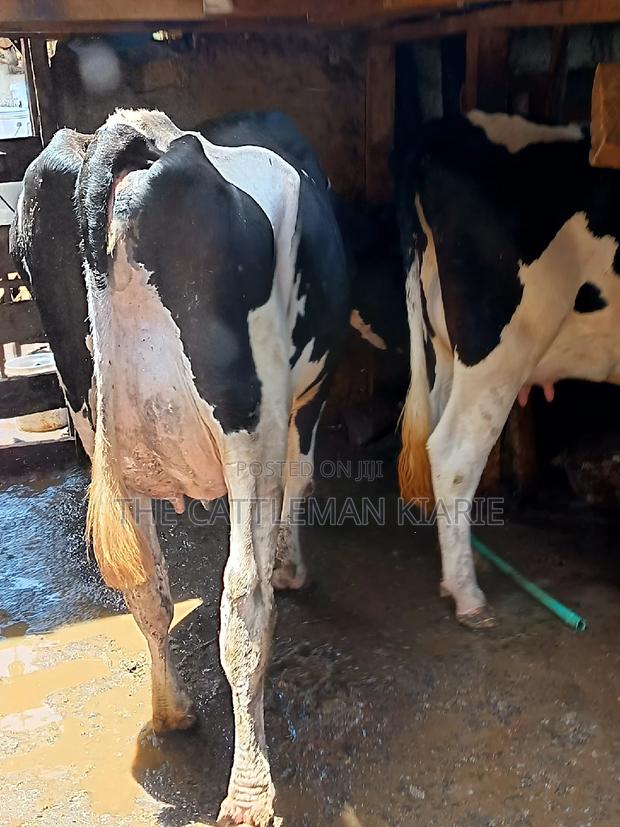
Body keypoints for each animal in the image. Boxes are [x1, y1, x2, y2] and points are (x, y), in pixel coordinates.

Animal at [10, 108, 349, 826]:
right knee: (243, 598)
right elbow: (301, 478)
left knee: (147, 584)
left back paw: (172, 711)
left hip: (92, 418)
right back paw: (250, 790)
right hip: (249, 420)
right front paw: (292, 566)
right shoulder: (309, 395)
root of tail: (131, 134)